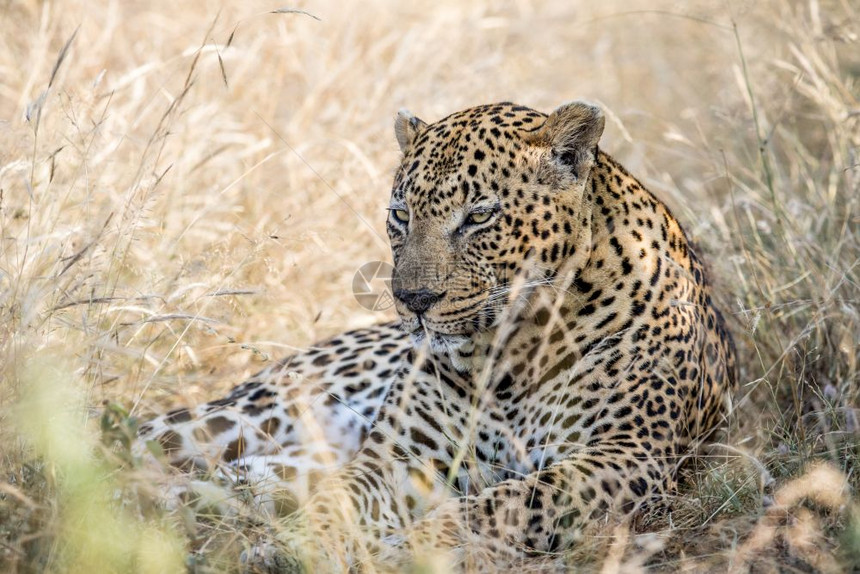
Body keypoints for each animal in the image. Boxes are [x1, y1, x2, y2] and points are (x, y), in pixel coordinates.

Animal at [138, 100, 736, 572]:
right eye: (400, 214)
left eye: (479, 216)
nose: (414, 301)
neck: (509, 356)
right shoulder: (397, 458)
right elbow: (340, 502)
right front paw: (298, 547)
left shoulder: (627, 454)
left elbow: (506, 503)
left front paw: (409, 550)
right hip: (244, 416)